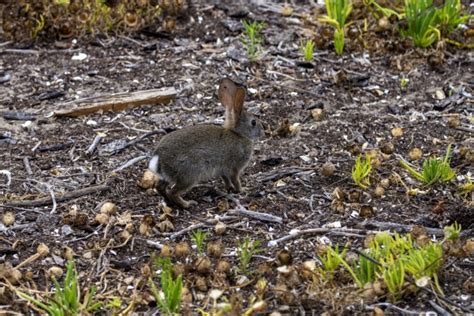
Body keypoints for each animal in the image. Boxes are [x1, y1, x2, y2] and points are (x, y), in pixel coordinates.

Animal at [148, 78, 264, 209]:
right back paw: (188, 204)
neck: (238, 134)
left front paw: (229, 189)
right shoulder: (234, 167)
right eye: (253, 122)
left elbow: (226, 179)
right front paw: (242, 190)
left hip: (170, 176)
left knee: (160, 187)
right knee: (173, 192)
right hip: (189, 175)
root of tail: (159, 158)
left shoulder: (223, 170)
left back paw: (168, 202)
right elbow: (235, 180)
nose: (263, 131)